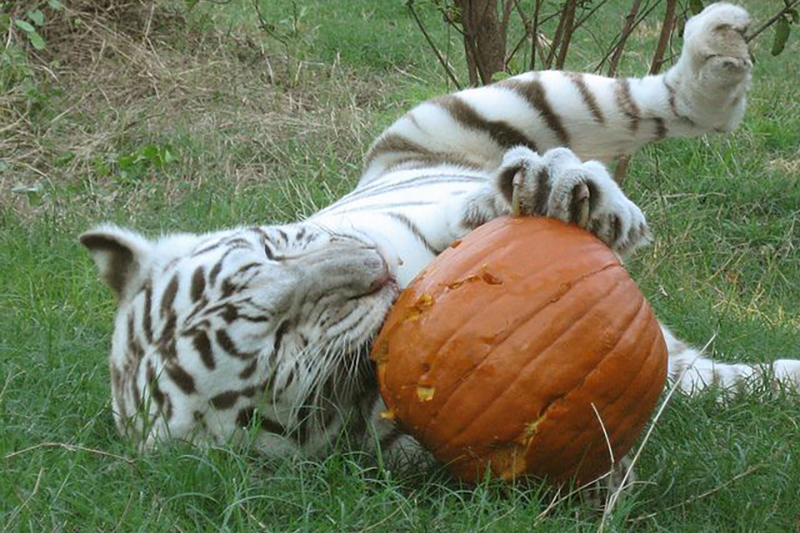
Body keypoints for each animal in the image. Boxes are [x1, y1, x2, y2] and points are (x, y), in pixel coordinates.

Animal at [83, 3, 800, 470]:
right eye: (279, 337)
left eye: (273, 247)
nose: (369, 266)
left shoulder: (409, 215)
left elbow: (475, 209)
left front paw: (565, 194)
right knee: (723, 379)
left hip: (486, 106)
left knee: (656, 103)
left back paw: (717, 49)